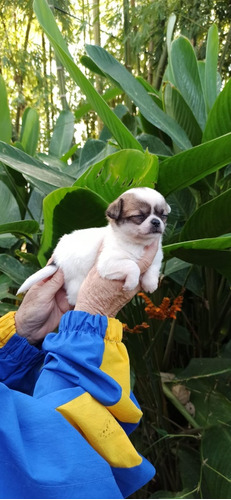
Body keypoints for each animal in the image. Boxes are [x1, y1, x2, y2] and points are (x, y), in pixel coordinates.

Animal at [17, 187, 170, 304]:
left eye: (163, 216)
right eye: (139, 216)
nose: (156, 222)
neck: (137, 244)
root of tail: (57, 257)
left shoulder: (156, 256)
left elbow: (153, 268)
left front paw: (150, 283)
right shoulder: (107, 263)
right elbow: (132, 265)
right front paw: (131, 282)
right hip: (76, 279)